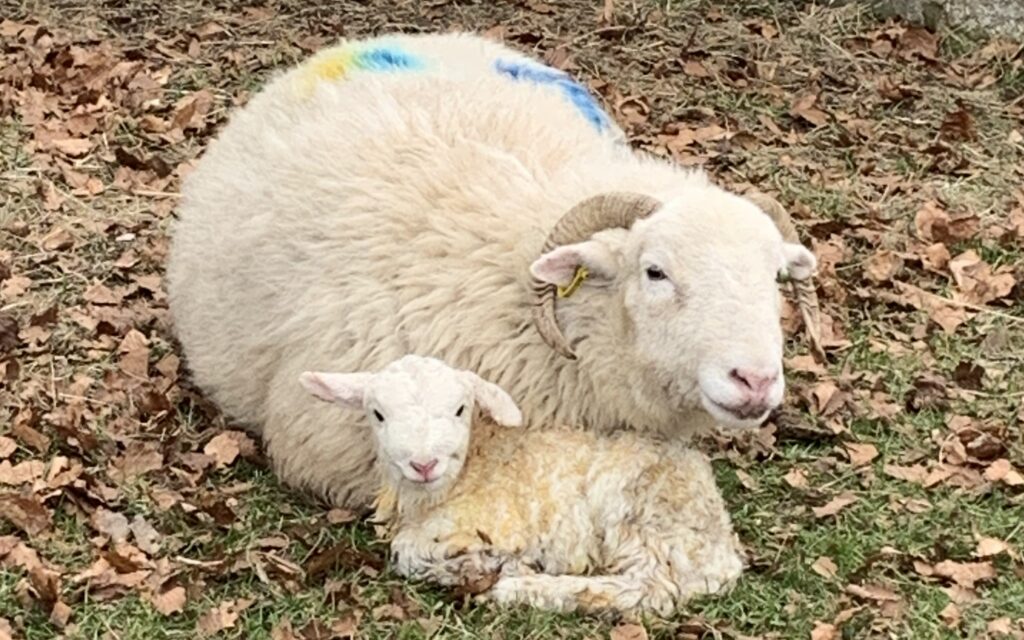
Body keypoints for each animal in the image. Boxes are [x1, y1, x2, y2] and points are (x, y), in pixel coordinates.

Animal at [299, 354, 745, 614]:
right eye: (378, 414)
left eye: (460, 409)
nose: (423, 464)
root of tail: (722, 547)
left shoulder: (498, 525)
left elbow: (406, 551)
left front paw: (484, 567)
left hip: (639, 512)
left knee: (650, 589)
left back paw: (522, 589)